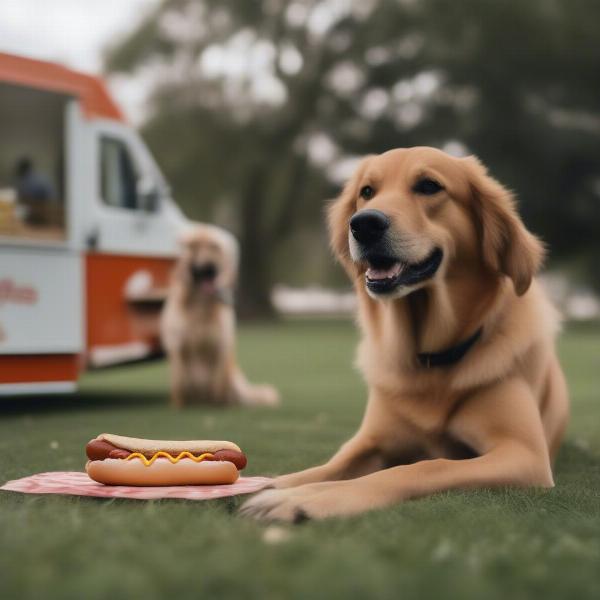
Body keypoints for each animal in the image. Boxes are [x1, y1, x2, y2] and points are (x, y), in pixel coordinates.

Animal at [161, 225, 280, 408]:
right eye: (194, 246)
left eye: (215, 248)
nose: (209, 266)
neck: (200, 305)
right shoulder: (177, 345)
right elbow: (178, 385)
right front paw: (177, 406)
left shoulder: (222, 345)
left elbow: (218, 386)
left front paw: (219, 405)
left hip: (235, 381)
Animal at [243, 146, 568, 520]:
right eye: (367, 191)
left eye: (429, 186)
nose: (364, 224)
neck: (431, 357)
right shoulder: (369, 441)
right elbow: (324, 468)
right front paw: (275, 485)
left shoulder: (523, 453)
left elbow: (424, 466)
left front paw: (302, 500)